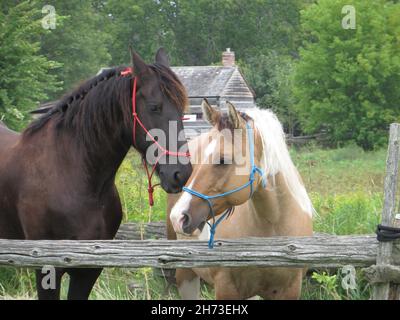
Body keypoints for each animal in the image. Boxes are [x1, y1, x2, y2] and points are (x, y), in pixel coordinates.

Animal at [167, 100, 314, 300]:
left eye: (222, 160)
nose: (179, 217)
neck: (274, 224)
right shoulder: (226, 289)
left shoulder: (289, 291)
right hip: (186, 275)